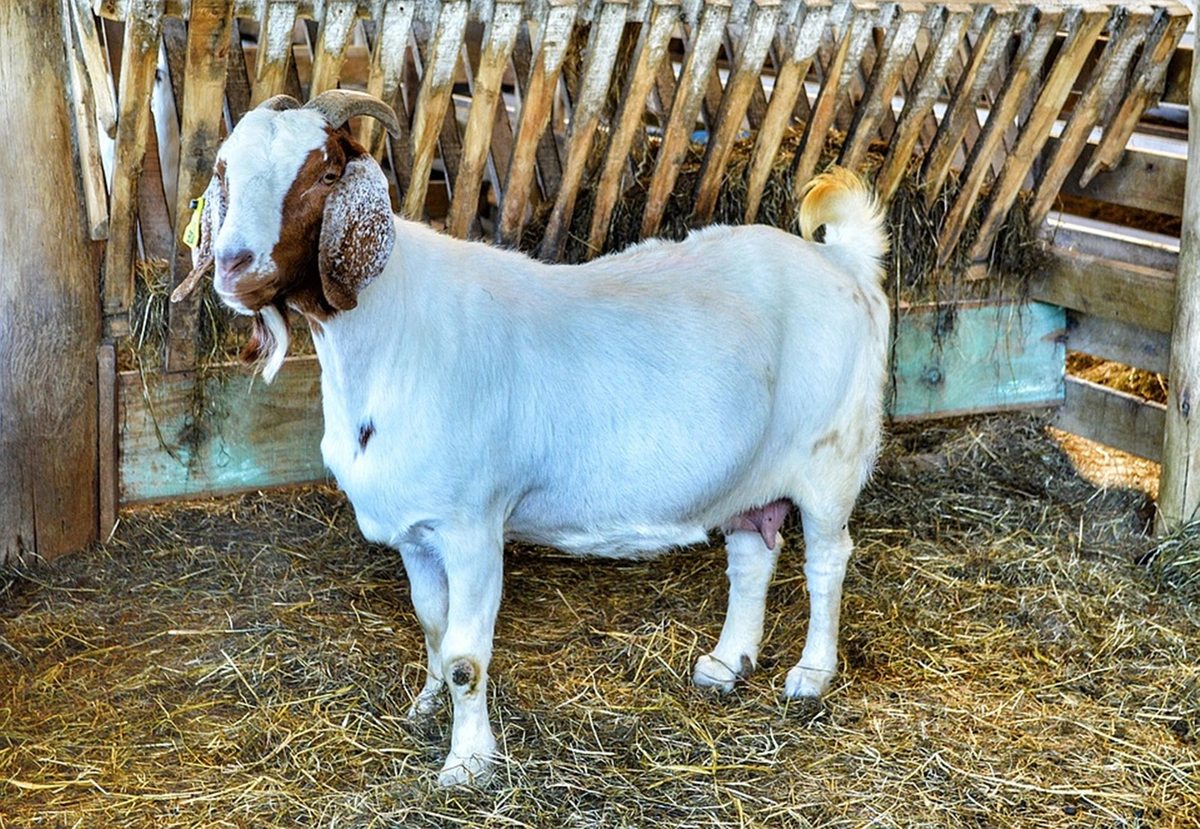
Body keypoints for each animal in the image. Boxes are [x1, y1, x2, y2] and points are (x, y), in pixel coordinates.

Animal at [184, 90, 892, 787]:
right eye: (223, 170)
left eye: (327, 173)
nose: (233, 266)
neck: (394, 334)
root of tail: (842, 263)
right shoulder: (415, 530)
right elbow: (433, 625)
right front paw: (425, 707)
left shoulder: (472, 523)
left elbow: (466, 654)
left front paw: (468, 765)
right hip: (750, 474)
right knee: (752, 554)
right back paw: (726, 663)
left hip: (831, 458)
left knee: (827, 559)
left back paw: (810, 675)